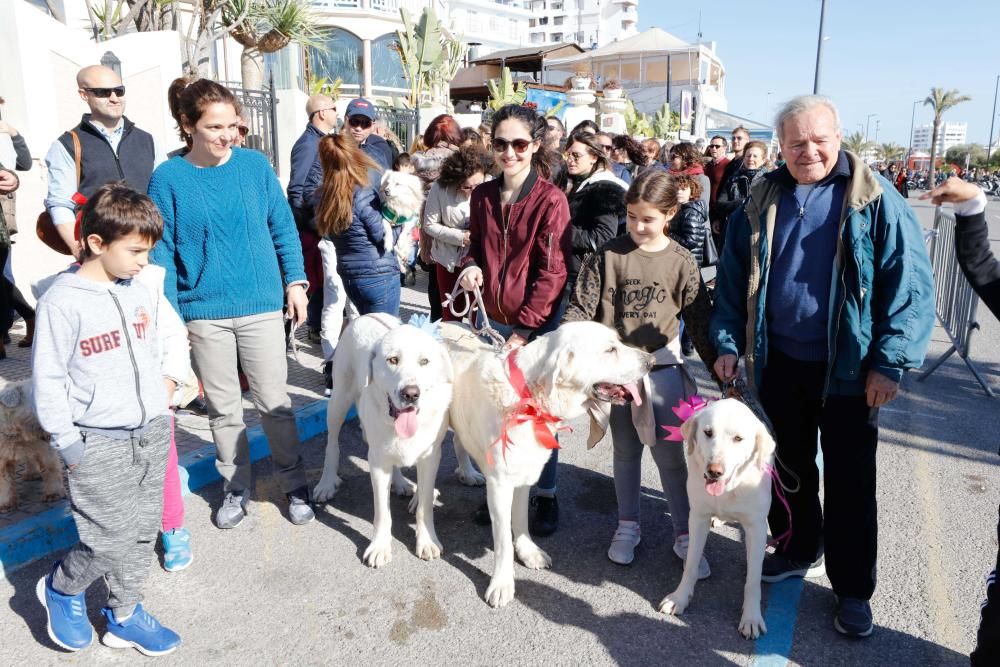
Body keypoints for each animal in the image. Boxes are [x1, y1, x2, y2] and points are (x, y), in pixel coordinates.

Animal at [660, 400, 776, 640]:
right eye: (708, 433)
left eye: (738, 438)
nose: (714, 471)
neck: (729, 488)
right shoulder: (697, 518)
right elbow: (691, 564)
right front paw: (679, 598)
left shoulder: (756, 528)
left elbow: (753, 580)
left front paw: (751, 618)